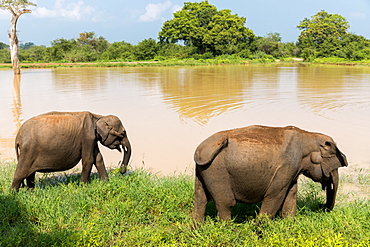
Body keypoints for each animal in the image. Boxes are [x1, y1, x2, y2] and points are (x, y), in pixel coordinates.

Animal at [192, 124, 348, 223]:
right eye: (334, 165)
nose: (321, 206)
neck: (309, 136)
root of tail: (200, 150)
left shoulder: (292, 169)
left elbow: (291, 195)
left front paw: (288, 225)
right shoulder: (287, 165)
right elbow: (275, 195)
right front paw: (259, 230)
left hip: (203, 171)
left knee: (200, 199)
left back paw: (196, 229)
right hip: (217, 172)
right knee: (225, 203)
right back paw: (230, 229)